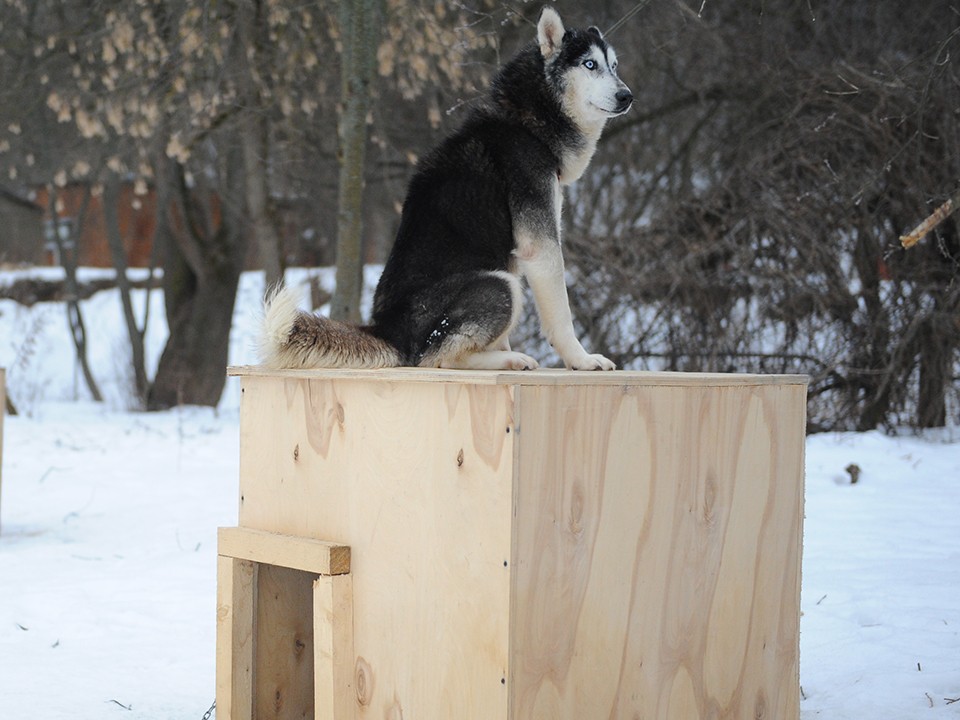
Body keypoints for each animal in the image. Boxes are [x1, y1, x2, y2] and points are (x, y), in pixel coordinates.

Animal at [260, 7, 632, 372]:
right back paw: (508, 360)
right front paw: (582, 359)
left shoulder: (513, 252)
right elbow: (561, 314)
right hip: (499, 284)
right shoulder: (539, 247)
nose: (627, 96)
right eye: (589, 64)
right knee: (436, 358)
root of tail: (390, 332)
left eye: (614, 66)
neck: (526, 120)